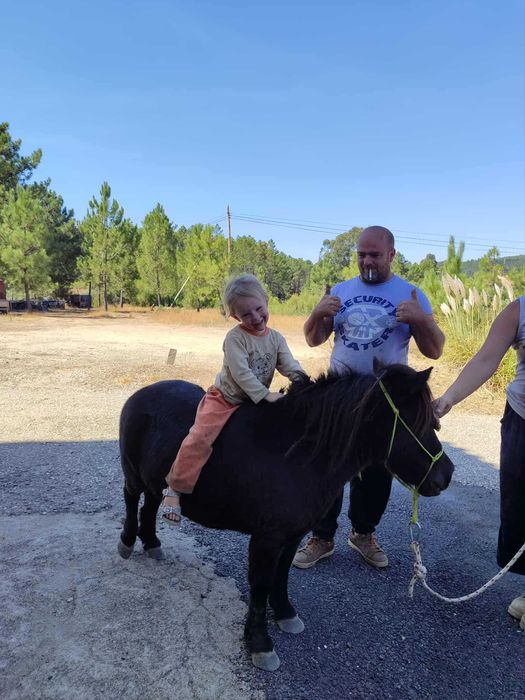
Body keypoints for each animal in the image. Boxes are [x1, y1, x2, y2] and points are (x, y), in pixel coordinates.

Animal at [117, 360, 454, 671]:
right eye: (419, 421)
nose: (446, 474)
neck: (295, 454)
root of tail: (140, 394)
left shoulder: (293, 534)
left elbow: (281, 576)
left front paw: (285, 614)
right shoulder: (266, 538)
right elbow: (261, 584)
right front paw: (259, 642)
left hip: (155, 482)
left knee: (150, 507)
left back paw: (152, 542)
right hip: (133, 475)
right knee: (132, 500)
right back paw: (128, 542)